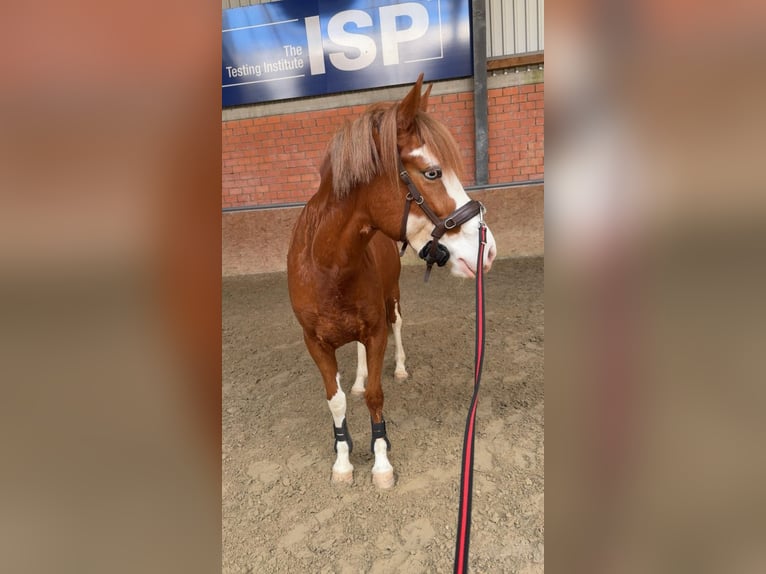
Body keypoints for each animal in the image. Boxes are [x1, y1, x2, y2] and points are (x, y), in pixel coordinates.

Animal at [286, 74, 497, 488]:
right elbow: (337, 400)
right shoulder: (315, 343)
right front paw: (343, 461)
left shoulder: (376, 333)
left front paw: (381, 462)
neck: (325, 266)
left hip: (393, 298)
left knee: (398, 325)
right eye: (432, 172)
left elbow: (375, 395)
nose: (488, 249)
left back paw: (399, 367)